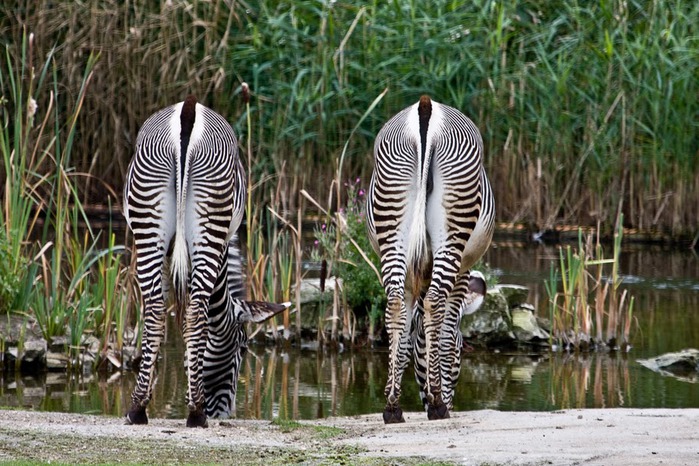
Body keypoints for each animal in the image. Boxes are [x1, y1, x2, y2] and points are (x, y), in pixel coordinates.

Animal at [123, 96, 288, 428]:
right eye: (242, 347)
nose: (226, 412)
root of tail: (188, 111)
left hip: (157, 224)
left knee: (163, 311)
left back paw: (148, 408)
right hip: (194, 220)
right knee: (184, 310)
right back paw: (186, 411)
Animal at [366, 94, 492, 422]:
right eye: (461, 351)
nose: (450, 403)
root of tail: (426, 108)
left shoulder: (414, 273)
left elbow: (406, 332)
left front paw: (394, 397)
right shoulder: (463, 271)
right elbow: (444, 330)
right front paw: (437, 396)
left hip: (392, 223)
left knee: (395, 305)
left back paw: (392, 409)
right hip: (453, 231)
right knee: (435, 302)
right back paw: (436, 405)